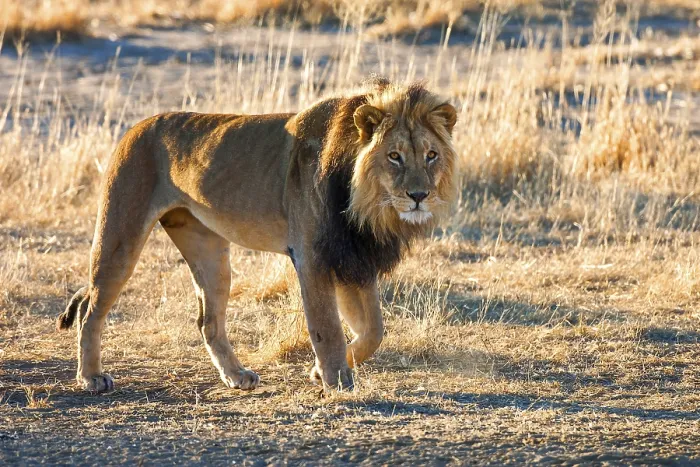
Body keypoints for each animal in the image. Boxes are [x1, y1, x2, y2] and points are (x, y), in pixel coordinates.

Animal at [56, 79, 458, 392]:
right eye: (394, 156)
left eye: (431, 155)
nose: (419, 195)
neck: (367, 204)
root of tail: (134, 127)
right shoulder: (313, 255)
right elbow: (327, 325)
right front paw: (336, 380)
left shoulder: (351, 256)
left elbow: (374, 329)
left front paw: (321, 372)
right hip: (120, 235)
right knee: (91, 309)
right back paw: (91, 378)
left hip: (209, 251)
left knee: (208, 321)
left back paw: (236, 376)